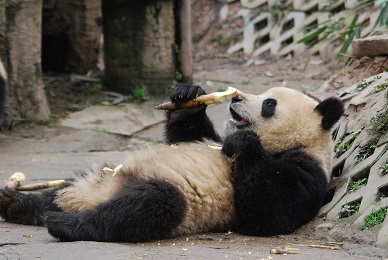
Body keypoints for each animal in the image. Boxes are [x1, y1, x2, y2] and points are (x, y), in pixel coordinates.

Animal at [0, 85, 344, 242]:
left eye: (269, 104)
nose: (235, 98)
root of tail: (91, 197)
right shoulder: (209, 137)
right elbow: (187, 134)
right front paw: (186, 96)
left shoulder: (306, 170)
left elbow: (270, 211)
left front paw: (245, 144)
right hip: (101, 174)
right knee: (65, 186)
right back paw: (18, 202)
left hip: (171, 200)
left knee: (146, 205)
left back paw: (66, 223)